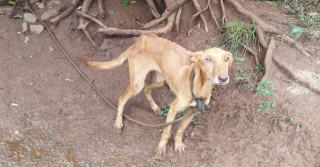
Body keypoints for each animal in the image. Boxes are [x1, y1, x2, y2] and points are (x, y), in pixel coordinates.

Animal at [84, 34, 232, 157]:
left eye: (226, 59)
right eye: (208, 59)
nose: (223, 78)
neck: (200, 86)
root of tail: (140, 38)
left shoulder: (192, 111)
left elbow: (181, 129)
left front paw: (178, 144)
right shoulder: (173, 109)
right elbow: (167, 131)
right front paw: (161, 148)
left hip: (160, 80)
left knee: (146, 89)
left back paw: (154, 107)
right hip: (137, 83)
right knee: (122, 98)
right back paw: (119, 122)